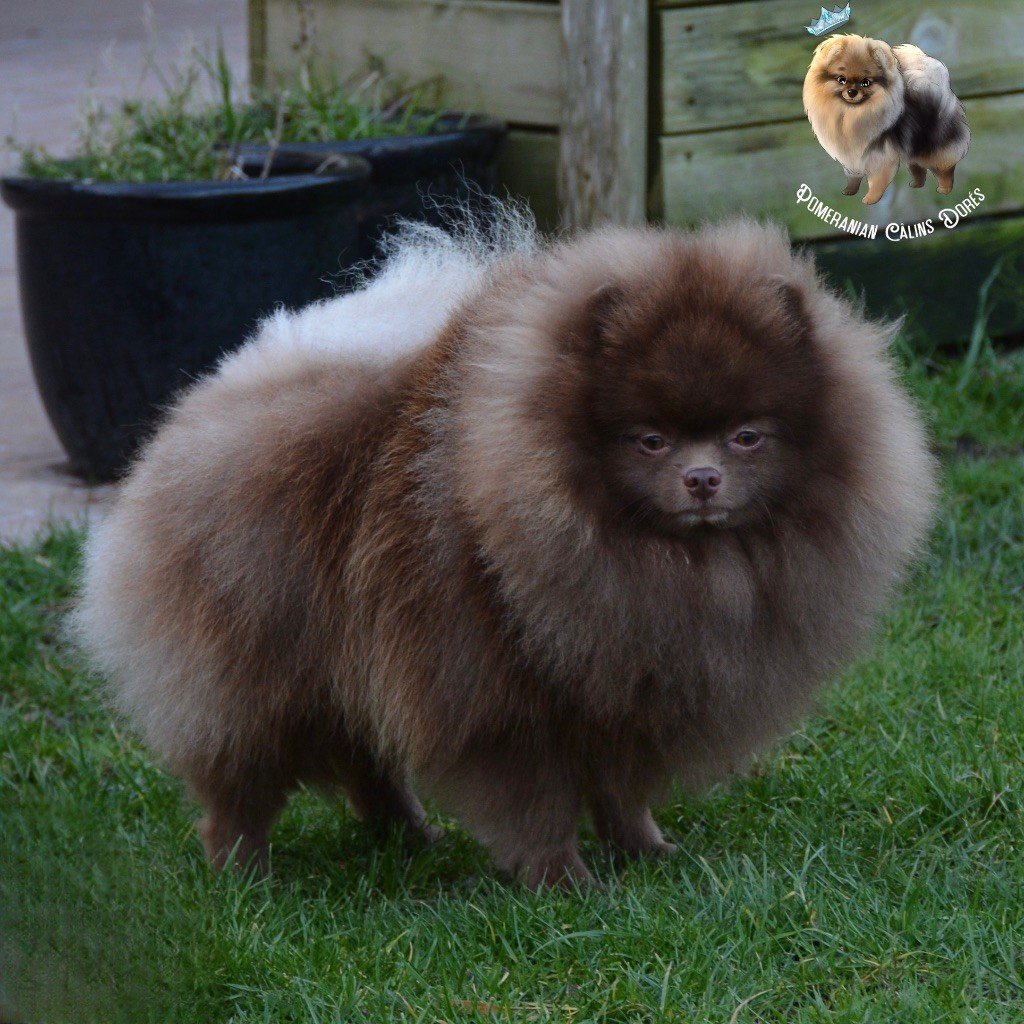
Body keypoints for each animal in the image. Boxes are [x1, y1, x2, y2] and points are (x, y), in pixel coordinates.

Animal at [74, 209, 937, 888]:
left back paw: (407, 835)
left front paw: (644, 850)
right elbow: (535, 802)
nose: (701, 478)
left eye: (748, 436)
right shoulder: (498, 696)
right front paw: (566, 882)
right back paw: (244, 873)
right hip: (255, 668)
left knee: (366, 760)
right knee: (239, 781)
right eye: (649, 439)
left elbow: (621, 789)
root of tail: (224, 389)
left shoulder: (624, 689)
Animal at [806, 32, 966, 203]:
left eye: (866, 83)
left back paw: (944, 189)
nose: (851, 92)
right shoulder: (851, 158)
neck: (849, 116)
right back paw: (916, 184)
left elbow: (876, 182)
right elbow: (853, 178)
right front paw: (849, 191)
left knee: (945, 169)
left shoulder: (879, 159)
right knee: (916, 166)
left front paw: (870, 199)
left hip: (935, 149)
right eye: (841, 79)